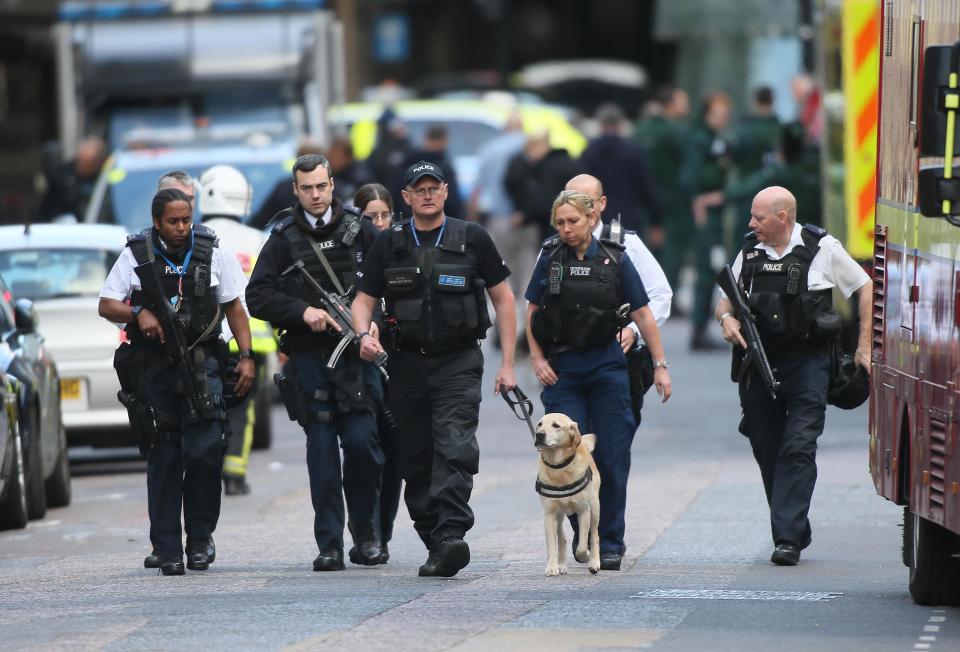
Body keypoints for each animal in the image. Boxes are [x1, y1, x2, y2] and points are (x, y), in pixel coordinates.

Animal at [532, 412, 600, 576]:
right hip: (559, 515)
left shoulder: (583, 511)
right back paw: (561, 564)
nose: (539, 435)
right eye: (539, 424)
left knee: (595, 535)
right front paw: (552, 567)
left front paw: (585, 556)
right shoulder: (549, 514)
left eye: (556, 425)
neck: (559, 467)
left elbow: (582, 545)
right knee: (562, 538)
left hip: (595, 507)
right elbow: (551, 543)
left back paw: (594, 562)